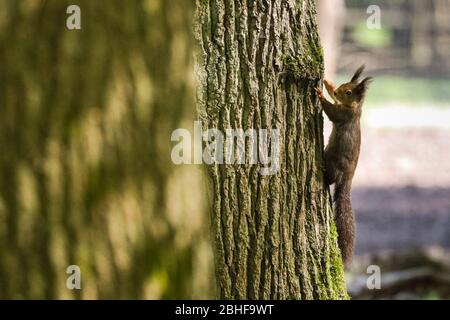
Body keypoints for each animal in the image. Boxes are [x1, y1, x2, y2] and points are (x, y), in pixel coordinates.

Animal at [312, 65, 372, 268]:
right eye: (343, 85)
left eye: (349, 92)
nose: (338, 91)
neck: (356, 108)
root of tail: (348, 177)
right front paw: (327, 84)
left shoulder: (344, 114)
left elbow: (331, 111)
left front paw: (320, 94)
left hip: (334, 161)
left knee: (331, 178)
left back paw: (323, 171)